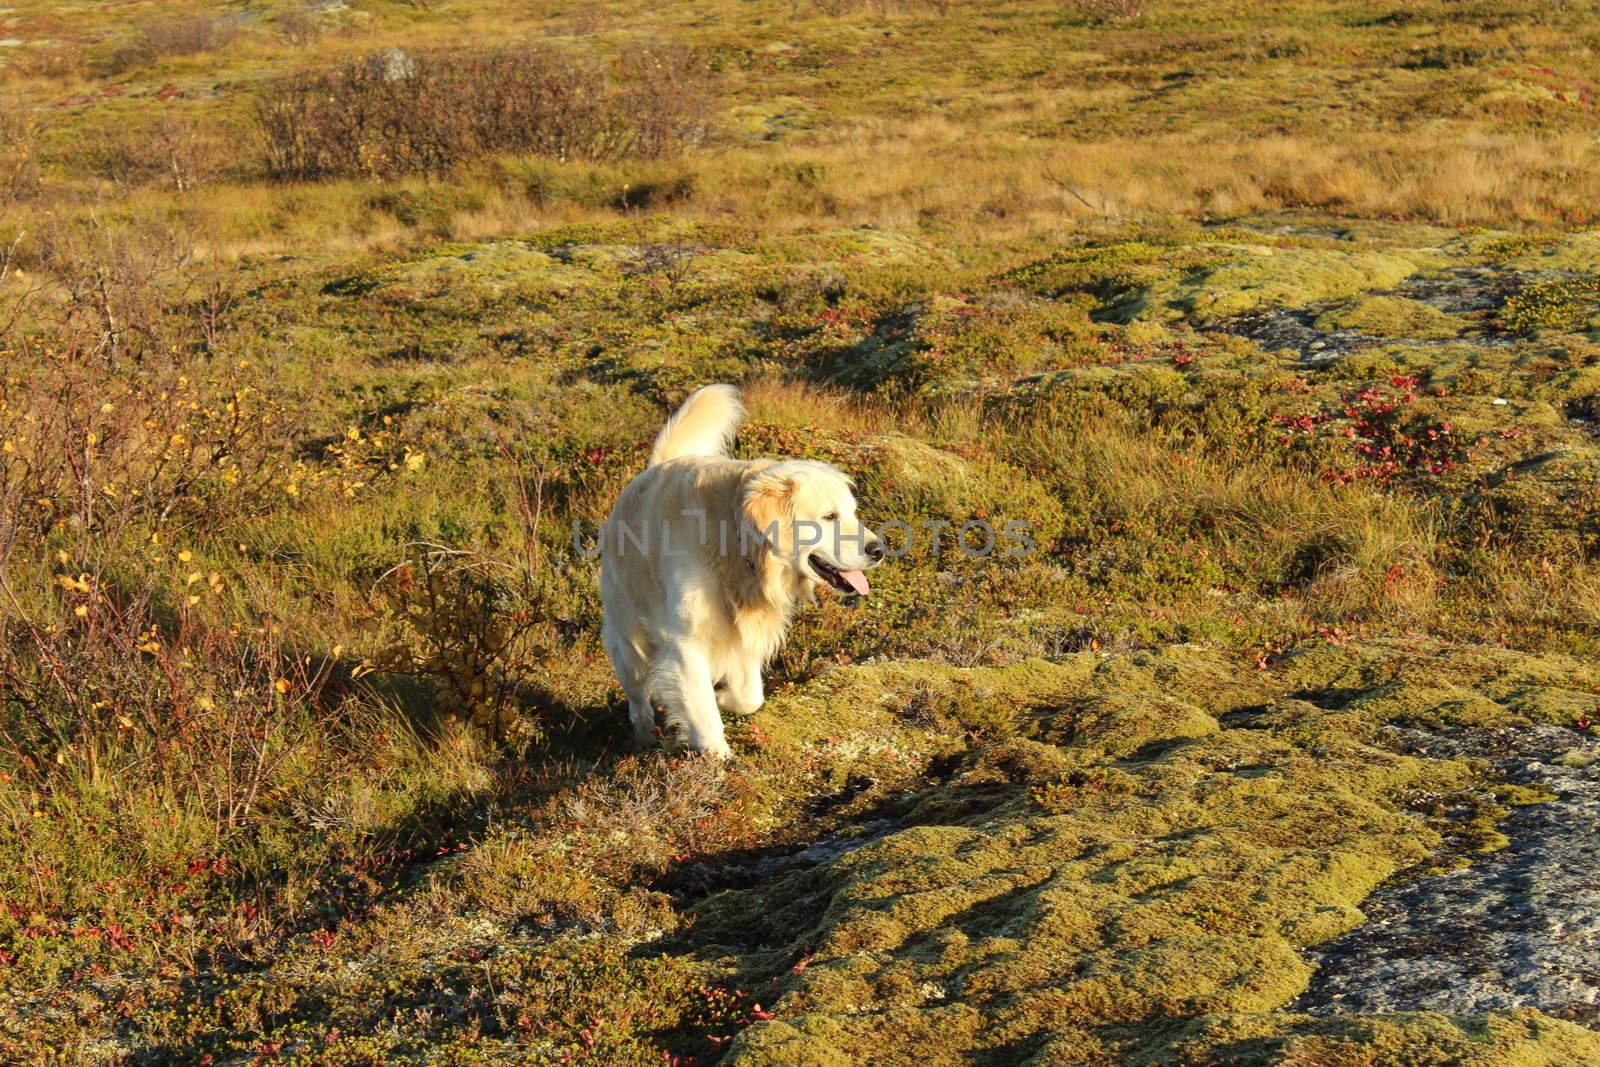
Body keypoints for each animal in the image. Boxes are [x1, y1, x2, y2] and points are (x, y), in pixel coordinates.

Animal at [598, 383, 883, 758]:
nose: (879, 551)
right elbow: (704, 714)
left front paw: (724, 696)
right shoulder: (684, 641)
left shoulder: (747, 631)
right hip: (629, 632)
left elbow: (750, 695)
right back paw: (645, 733)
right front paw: (717, 759)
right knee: (635, 691)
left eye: (852, 513)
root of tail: (654, 467)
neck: (738, 547)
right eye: (830, 516)